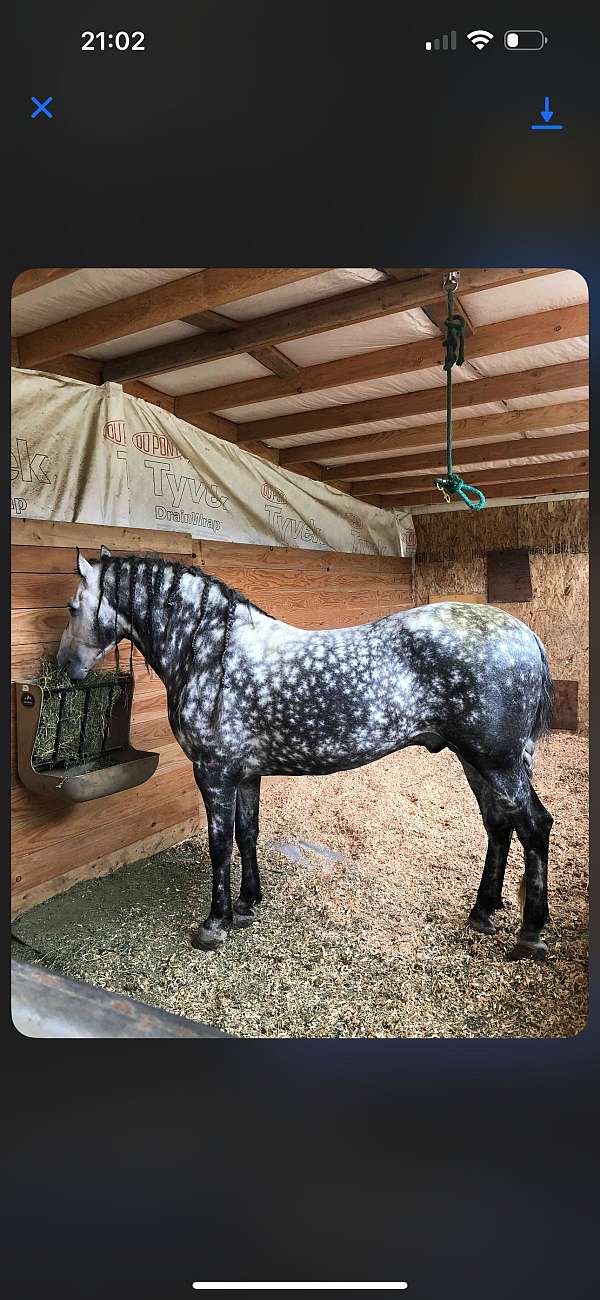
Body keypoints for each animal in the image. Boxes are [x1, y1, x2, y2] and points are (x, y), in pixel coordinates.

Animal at [57, 546, 554, 962]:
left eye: (72, 607)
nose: (66, 665)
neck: (212, 651)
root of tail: (525, 634)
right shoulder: (245, 774)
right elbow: (247, 833)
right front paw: (247, 903)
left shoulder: (214, 772)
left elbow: (220, 845)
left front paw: (215, 923)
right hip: (475, 761)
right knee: (498, 825)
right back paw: (483, 912)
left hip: (497, 761)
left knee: (534, 825)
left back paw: (530, 934)